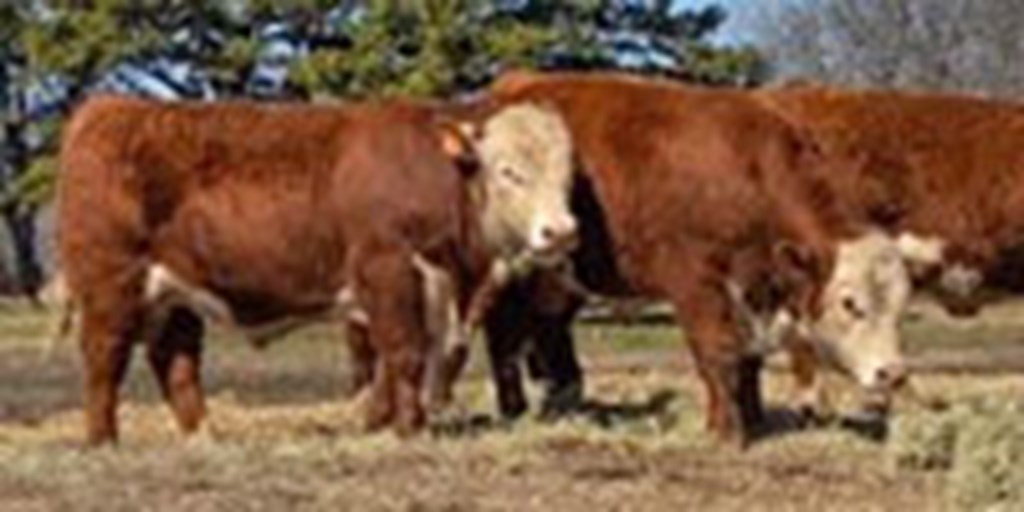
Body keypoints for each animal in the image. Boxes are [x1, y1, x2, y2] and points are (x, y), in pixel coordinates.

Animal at [58, 95, 577, 444]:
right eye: (509, 171)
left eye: (567, 174)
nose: (561, 232)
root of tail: (108, 108)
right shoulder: (387, 271)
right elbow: (404, 353)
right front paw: (408, 429)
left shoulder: (430, 292)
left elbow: (400, 361)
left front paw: (379, 422)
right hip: (110, 284)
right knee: (104, 357)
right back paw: (103, 440)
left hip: (175, 294)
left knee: (177, 362)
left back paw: (203, 435)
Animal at [448, 72, 913, 444]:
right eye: (850, 304)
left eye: (899, 305)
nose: (893, 373)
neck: (749, 171)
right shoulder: (696, 283)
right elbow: (718, 352)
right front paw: (727, 431)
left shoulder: (752, 288)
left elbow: (748, 358)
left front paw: (754, 419)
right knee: (504, 330)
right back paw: (514, 408)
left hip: (556, 275)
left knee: (546, 326)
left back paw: (564, 402)